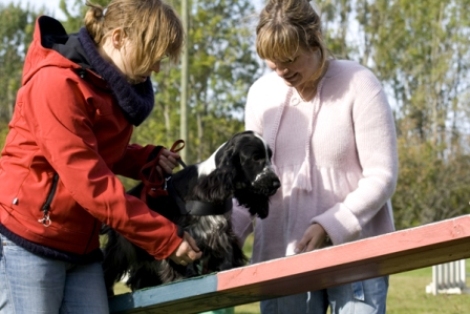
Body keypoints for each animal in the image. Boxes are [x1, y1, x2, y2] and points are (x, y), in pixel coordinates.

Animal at [101, 131, 280, 294]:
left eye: (269, 157)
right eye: (255, 158)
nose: (276, 183)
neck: (210, 182)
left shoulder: (221, 230)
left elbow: (226, 251)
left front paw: (227, 267)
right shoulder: (187, 231)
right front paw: (183, 277)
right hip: (123, 245)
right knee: (110, 266)